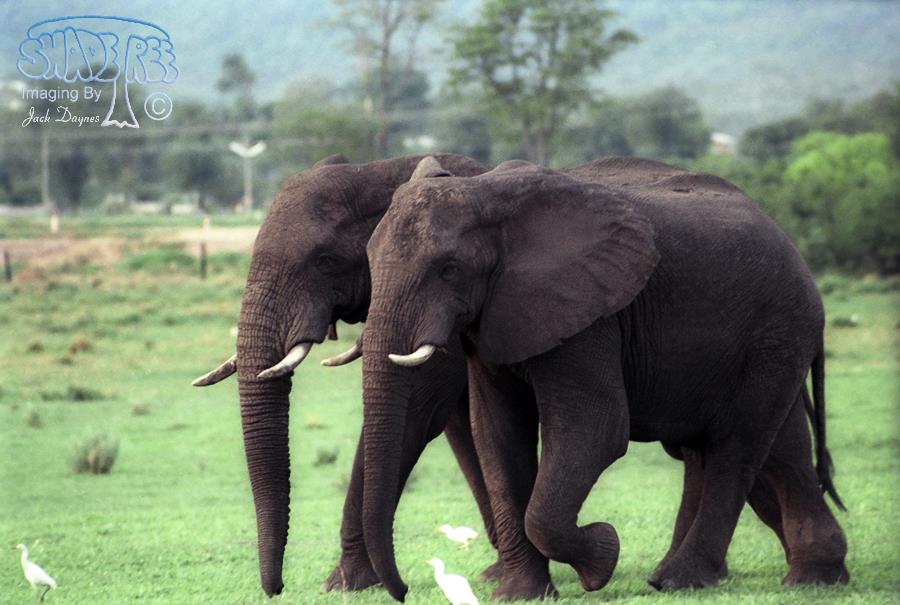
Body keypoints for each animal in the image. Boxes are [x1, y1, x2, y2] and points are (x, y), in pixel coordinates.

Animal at [359, 157, 849, 602]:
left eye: (449, 269)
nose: (402, 591)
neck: (486, 195)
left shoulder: (590, 312)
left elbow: (595, 431)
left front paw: (602, 554)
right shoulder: (496, 317)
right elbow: (497, 435)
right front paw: (520, 595)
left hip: (777, 329)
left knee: (737, 446)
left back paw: (681, 580)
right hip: (775, 341)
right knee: (782, 448)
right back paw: (815, 578)